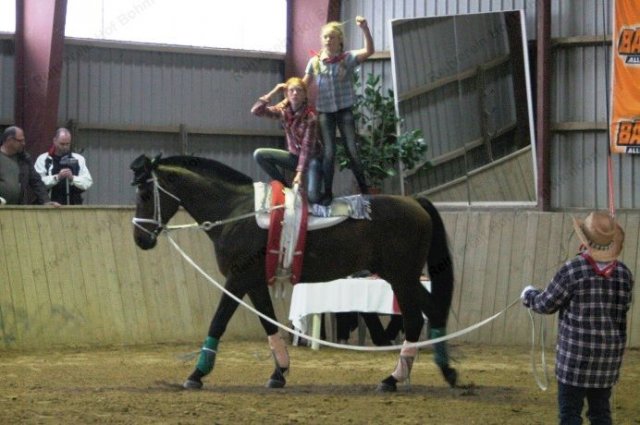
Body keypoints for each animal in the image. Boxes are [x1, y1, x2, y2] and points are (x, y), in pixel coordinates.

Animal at [130, 154, 457, 392]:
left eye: (145, 193)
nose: (140, 239)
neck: (236, 211)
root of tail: (414, 201)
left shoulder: (237, 279)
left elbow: (218, 322)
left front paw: (197, 374)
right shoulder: (255, 282)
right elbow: (269, 323)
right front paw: (279, 372)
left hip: (400, 277)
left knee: (415, 319)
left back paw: (393, 378)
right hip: (405, 278)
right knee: (432, 312)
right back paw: (444, 371)